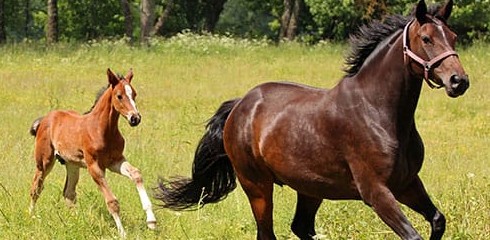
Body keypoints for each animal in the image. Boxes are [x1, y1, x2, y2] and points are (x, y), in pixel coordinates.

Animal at [29, 68, 155, 237]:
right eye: (119, 96)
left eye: (134, 94)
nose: (135, 118)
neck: (102, 130)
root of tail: (45, 119)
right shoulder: (94, 166)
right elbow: (112, 202)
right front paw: (122, 233)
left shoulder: (115, 161)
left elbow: (136, 174)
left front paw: (151, 221)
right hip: (44, 162)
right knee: (36, 188)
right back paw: (32, 216)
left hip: (72, 164)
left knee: (69, 193)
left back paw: (78, 221)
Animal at [155, 0, 468, 239]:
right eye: (426, 39)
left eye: (453, 37)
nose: (459, 81)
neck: (379, 113)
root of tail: (240, 106)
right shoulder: (376, 192)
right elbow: (413, 235)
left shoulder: (407, 183)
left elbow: (438, 220)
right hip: (257, 186)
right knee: (268, 232)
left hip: (310, 188)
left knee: (301, 227)